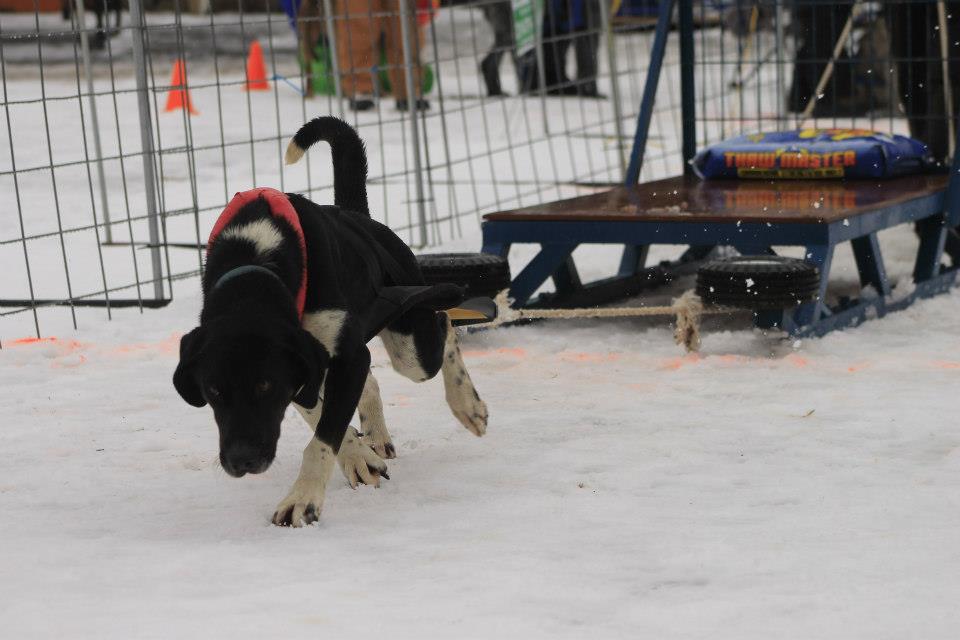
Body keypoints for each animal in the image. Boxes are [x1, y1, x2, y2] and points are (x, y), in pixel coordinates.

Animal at [173, 117, 488, 528]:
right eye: (212, 390)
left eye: (265, 386)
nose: (243, 460)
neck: (258, 257)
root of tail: (359, 215)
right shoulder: (308, 363)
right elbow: (324, 414)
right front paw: (357, 457)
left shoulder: (341, 357)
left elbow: (323, 435)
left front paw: (302, 498)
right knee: (372, 381)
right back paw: (375, 438)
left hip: (410, 344)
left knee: (444, 323)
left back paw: (467, 404)